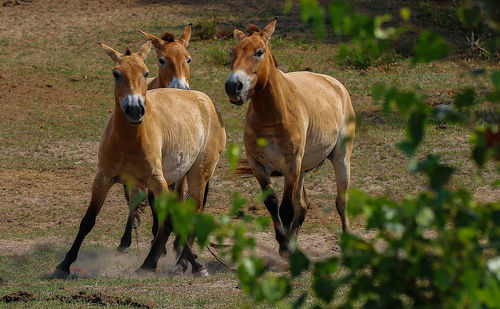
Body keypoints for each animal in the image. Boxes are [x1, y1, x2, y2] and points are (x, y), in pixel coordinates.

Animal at [49, 41, 226, 276]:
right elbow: (88, 220)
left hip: (198, 175)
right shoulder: (103, 179)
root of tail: (205, 100)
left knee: (192, 212)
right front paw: (65, 263)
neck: (129, 140)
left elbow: (169, 219)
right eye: (116, 73)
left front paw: (193, 264)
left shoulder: (157, 182)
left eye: (145, 73)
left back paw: (177, 263)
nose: (134, 109)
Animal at [225, 18, 354, 256]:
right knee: (302, 206)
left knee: (341, 201)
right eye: (232, 52)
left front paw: (284, 246)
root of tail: (335, 84)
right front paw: (284, 242)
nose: (233, 86)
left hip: (340, 159)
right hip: (302, 169)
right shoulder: (259, 167)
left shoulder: (291, 167)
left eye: (259, 52)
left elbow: (285, 208)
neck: (273, 117)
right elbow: (272, 203)